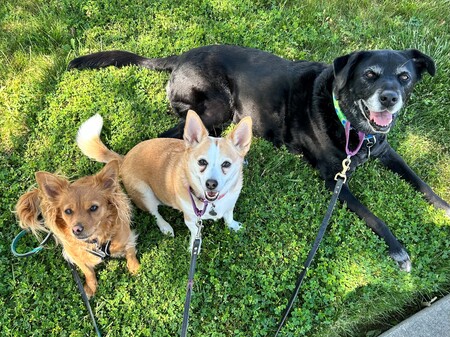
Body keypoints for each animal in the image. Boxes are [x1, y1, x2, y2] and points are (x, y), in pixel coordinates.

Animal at [15, 160, 140, 296]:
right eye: (68, 211)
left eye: (93, 207)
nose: (76, 229)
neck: (96, 241)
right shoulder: (73, 255)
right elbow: (88, 271)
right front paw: (90, 287)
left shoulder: (127, 237)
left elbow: (130, 253)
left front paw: (135, 268)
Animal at [77, 111, 253, 249]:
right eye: (202, 162)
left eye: (226, 164)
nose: (211, 184)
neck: (211, 204)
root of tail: (124, 158)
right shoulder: (191, 220)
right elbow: (195, 234)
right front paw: (193, 247)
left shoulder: (230, 204)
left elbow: (228, 216)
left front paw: (233, 226)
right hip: (145, 194)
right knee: (155, 213)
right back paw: (165, 227)